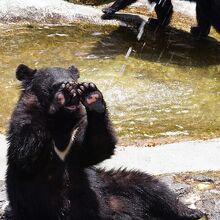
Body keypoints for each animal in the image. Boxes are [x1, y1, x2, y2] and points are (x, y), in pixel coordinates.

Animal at [5, 64, 205, 219]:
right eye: (53, 84)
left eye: (73, 80)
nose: (69, 87)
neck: (63, 121)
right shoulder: (25, 121)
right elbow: (27, 154)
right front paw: (59, 100)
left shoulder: (79, 129)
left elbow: (96, 149)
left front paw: (92, 95)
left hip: (110, 185)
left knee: (151, 186)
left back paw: (191, 212)